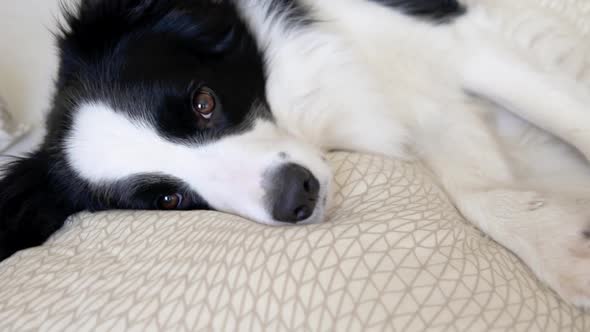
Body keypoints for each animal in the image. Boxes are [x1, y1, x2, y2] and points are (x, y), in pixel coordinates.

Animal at [1, 0, 590, 306]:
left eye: (203, 101)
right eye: (169, 200)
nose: (295, 197)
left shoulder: (452, 40)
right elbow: (476, 191)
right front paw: (561, 247)